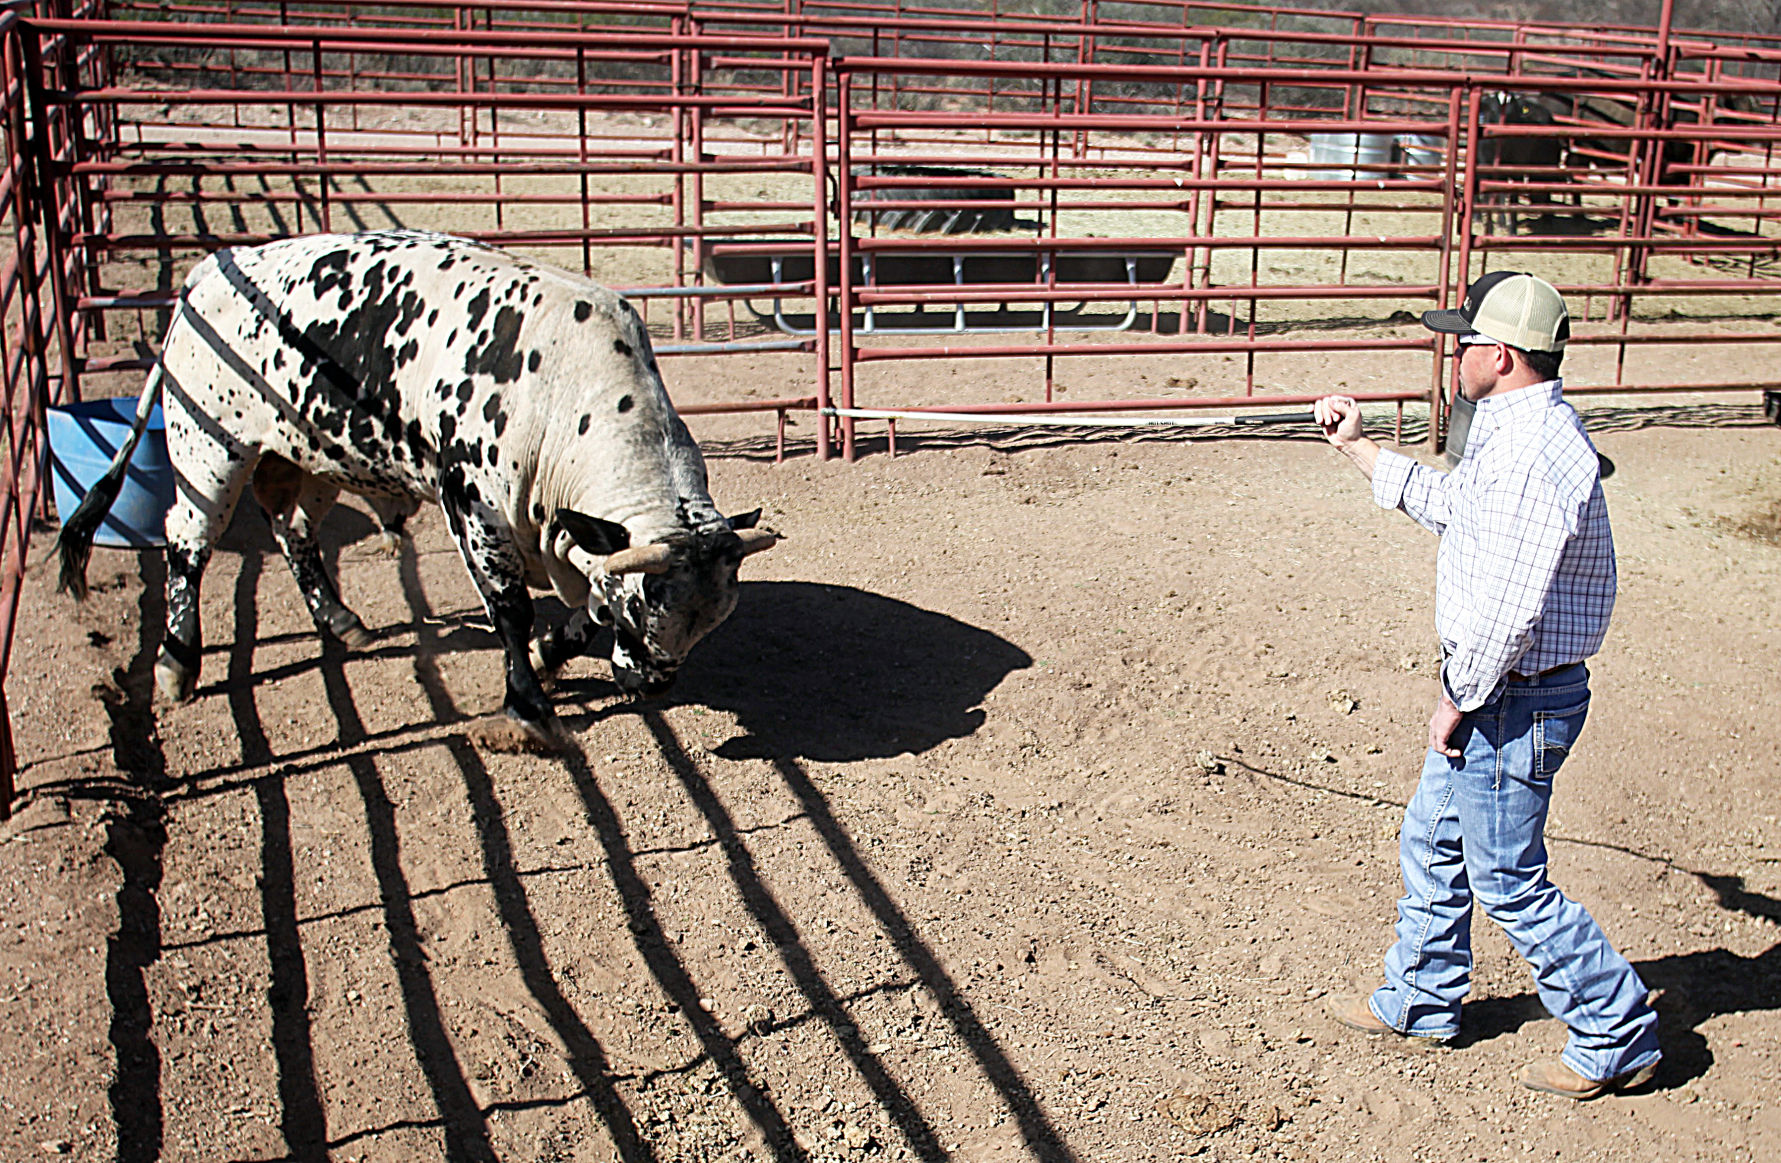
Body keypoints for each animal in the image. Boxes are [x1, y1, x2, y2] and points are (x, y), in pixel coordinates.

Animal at [60, 231, 772, 748]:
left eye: (705, 623)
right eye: (638, 611)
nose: (652, 683)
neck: (564, 389)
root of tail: (210, 268)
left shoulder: (579, 542)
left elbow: (576, 615)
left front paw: (548, 653)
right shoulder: (475, 510)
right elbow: (511, 610)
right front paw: (527, 709)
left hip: (311, 458)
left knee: (294, 534)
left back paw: (340, 621)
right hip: (209, 447)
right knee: (189, 542)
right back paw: (178, 663)